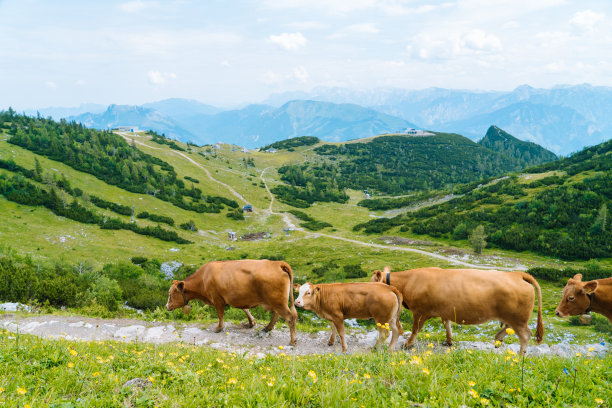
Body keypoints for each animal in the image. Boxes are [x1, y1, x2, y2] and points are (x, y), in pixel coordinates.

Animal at [370, 264, 544, 354]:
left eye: (372, 281)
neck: (409, 282)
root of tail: (517, 274)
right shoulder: (445, 310)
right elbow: (447, 325)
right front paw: (449, 341)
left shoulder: (420, 311)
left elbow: (415, 329)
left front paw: (408, 344)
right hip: (513, 317)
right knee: (510, 328)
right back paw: (498, 339)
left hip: (518, 318)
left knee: (525, 336)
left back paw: (520, 356)